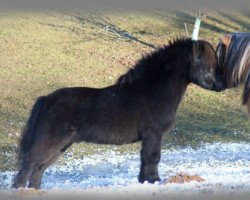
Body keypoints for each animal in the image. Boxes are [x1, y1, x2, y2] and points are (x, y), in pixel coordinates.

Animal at [11, 38, 224, 189]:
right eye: (208, 65)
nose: (220, 86)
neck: (152, 89)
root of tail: (45, 99)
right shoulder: (153, 134)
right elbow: (152, 158)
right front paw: (154, 180)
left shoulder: (149, 137)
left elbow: (145, 159)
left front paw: (144, 181)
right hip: (49, 143)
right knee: (27, 169)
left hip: (61, 146)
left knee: (38, 170)